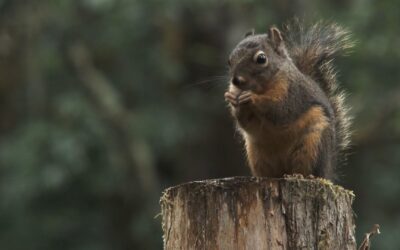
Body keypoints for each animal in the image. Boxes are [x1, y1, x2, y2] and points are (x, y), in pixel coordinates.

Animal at [225, 20, 354, 179]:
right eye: (229, 60)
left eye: (261, 59)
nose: (236, 81)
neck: (262, 88)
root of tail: (327, 171)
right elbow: (246, 122)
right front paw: (232, 99)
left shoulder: (293, 94)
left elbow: (280, 110)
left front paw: (252, 98)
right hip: (256, 155)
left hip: (312, 145)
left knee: (307, 169)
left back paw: (299, 175)